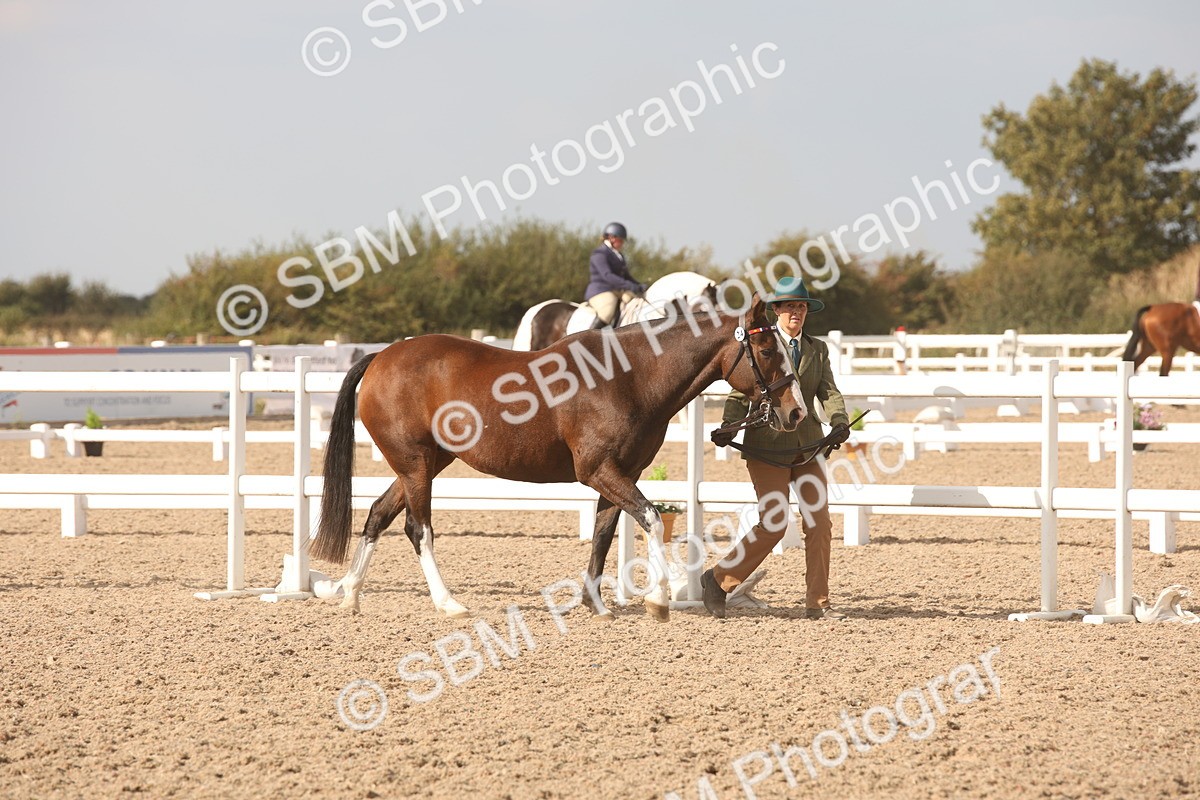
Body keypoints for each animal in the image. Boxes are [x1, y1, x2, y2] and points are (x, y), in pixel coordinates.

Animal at [307, 290, 806, 622]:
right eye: (766, 349)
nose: (796, 412)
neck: (628, 378)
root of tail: (381, 357)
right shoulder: (599, 471)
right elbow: (648, 518)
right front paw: (659, 598)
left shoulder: (620, 473)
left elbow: (604, 535)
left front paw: (596, 604)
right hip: (415, 466)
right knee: (418, 529)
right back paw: (447, 603)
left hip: (425, 464)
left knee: (377, 514)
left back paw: (349, 594)